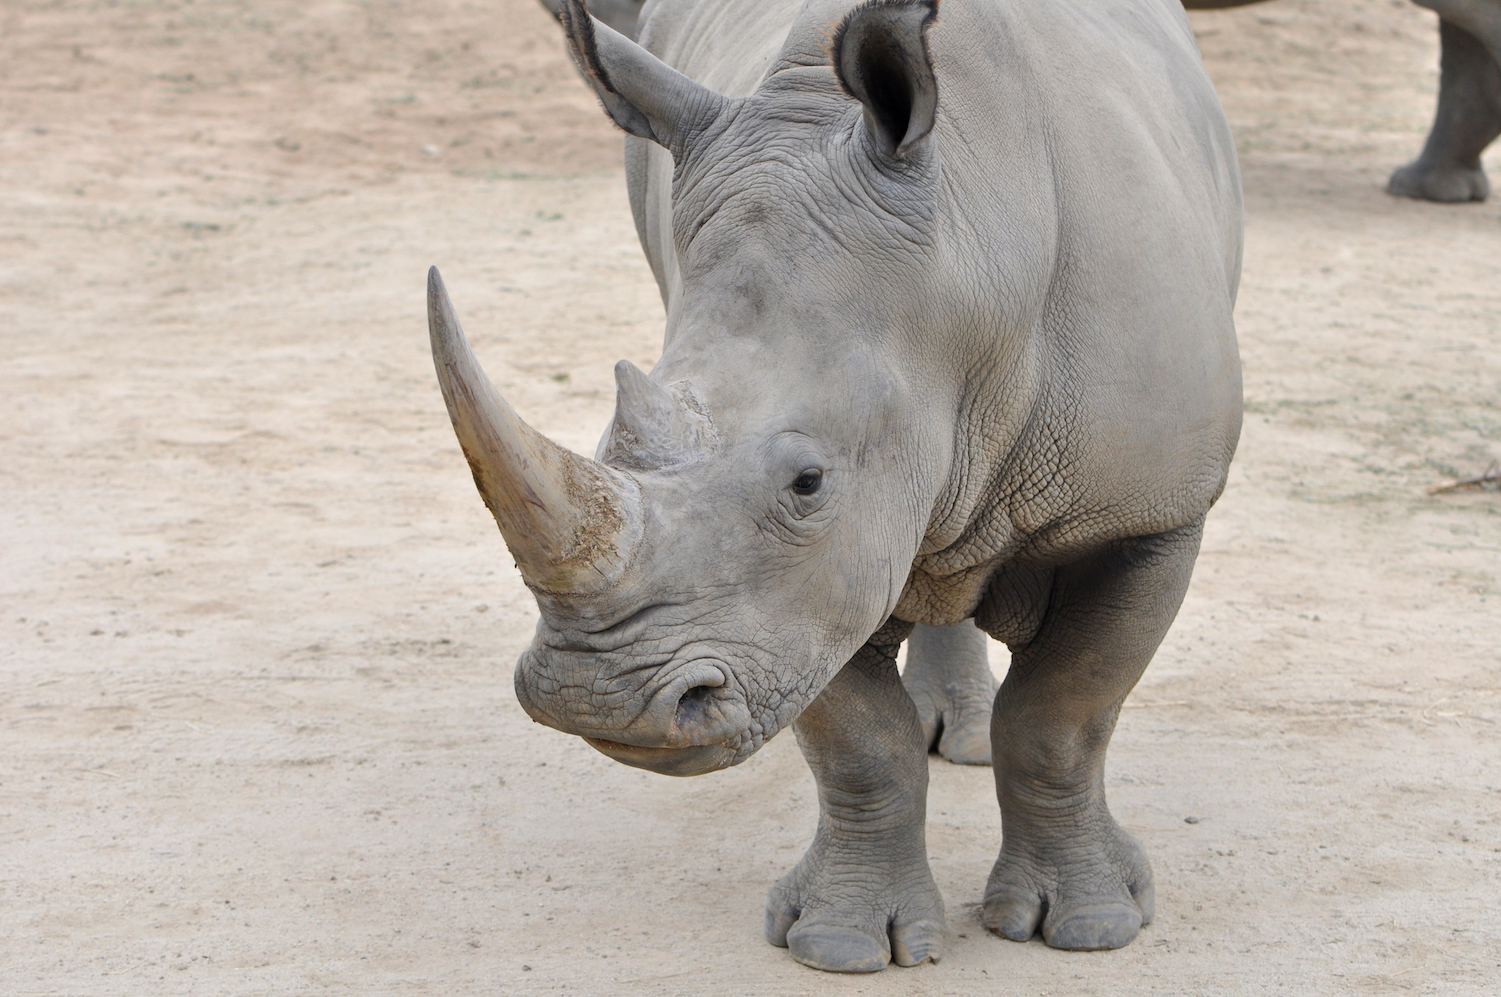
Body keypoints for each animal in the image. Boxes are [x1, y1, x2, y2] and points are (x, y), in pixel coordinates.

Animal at [429, 0, 1242, 972]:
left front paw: (1088, 926)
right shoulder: (792, 603)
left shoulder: (1150, 511)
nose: (597, 700)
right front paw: (843, 942)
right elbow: (858, 739)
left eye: (808, 482)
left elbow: (1062, 716)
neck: (969, 260)